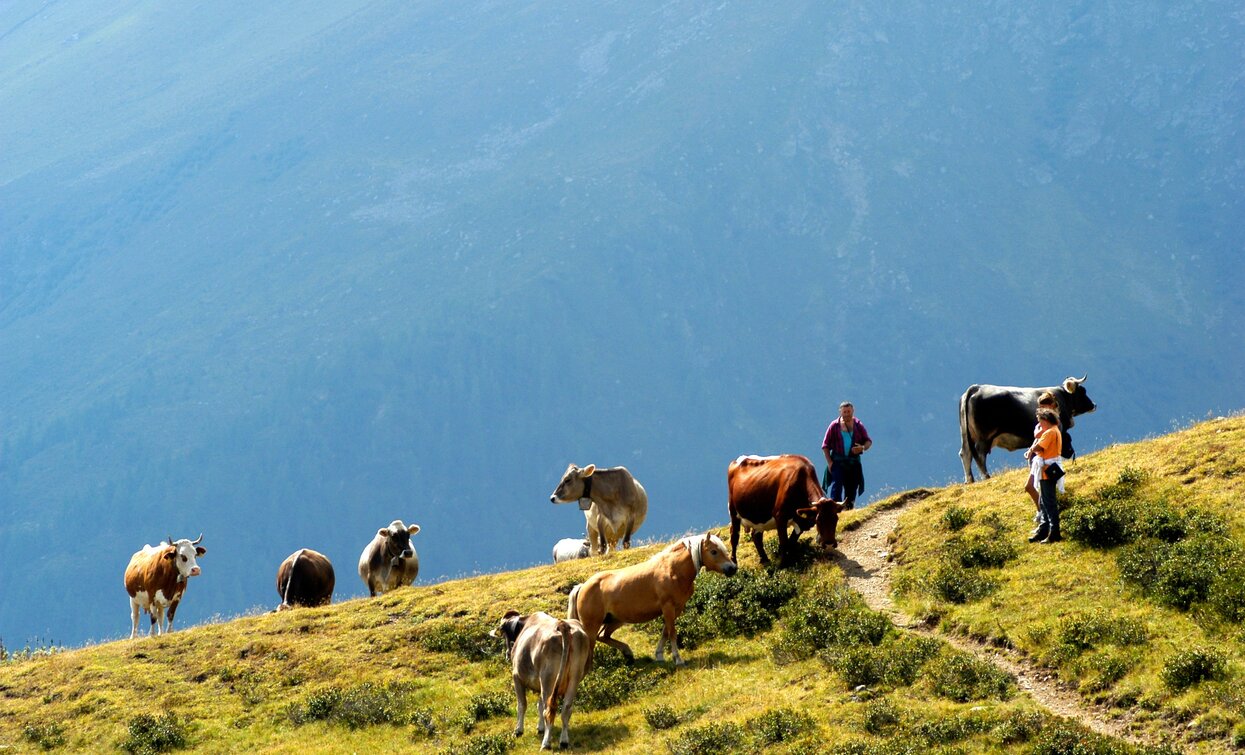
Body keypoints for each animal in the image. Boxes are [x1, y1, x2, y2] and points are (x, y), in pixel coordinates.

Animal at [488, 615, 590, 752]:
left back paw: (546, 743)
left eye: (505, 633)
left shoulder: (517, 677)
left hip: (547, 679)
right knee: (566, 709)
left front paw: (518, 730)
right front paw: (540, 728)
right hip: (574, 678)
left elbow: (522, 705)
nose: (507, 654)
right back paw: (563, 741)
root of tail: (563, 625)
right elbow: (539, 705)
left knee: (549, 710)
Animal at [570, 533, 732, 667]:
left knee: (603, 636)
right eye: (714, 551)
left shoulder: (676, 608)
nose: (732, 568)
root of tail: (583, 586)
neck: (673, 570)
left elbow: (665, 631)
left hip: (616, 620)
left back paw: (628, 653)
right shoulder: (668, 607)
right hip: (592, 625)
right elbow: (672, 632)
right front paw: (678, 659)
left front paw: (659, 656)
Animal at [961, 373, 1100, 485]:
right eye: (1083, 391)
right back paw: (986, 476)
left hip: (967, 436)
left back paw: (970, 480)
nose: (1094, 405)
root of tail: (977, 388)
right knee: (980, 455)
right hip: (984, 437)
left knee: (965, 454)